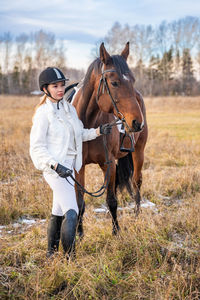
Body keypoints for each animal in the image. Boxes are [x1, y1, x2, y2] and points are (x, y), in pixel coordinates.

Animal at [72, 42, 148, 236]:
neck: (88, 124)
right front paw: (79, 233)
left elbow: (112, 200)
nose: (137, 122)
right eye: (114, 82)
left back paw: (137, 215)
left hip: (139, 152)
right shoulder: (78, 167)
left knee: (136, 182)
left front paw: (116, 231)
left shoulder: (109, 164)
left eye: (133, 80)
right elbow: (79, 202)